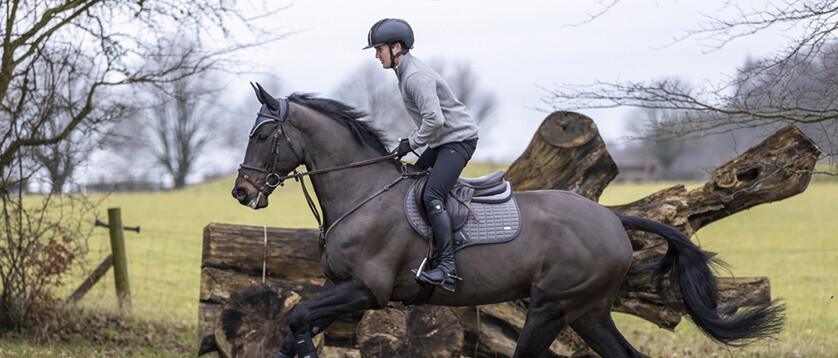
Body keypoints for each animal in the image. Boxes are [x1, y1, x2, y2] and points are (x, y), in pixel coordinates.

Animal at [233, 84, 784, 358]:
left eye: (261, 136)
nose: (242, 192)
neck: (362, 193)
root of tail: (611, 218)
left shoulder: (366, 290)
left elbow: (298, 322)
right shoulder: (342, 290)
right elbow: (295, 327)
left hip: (551, 307)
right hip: (589, 312)